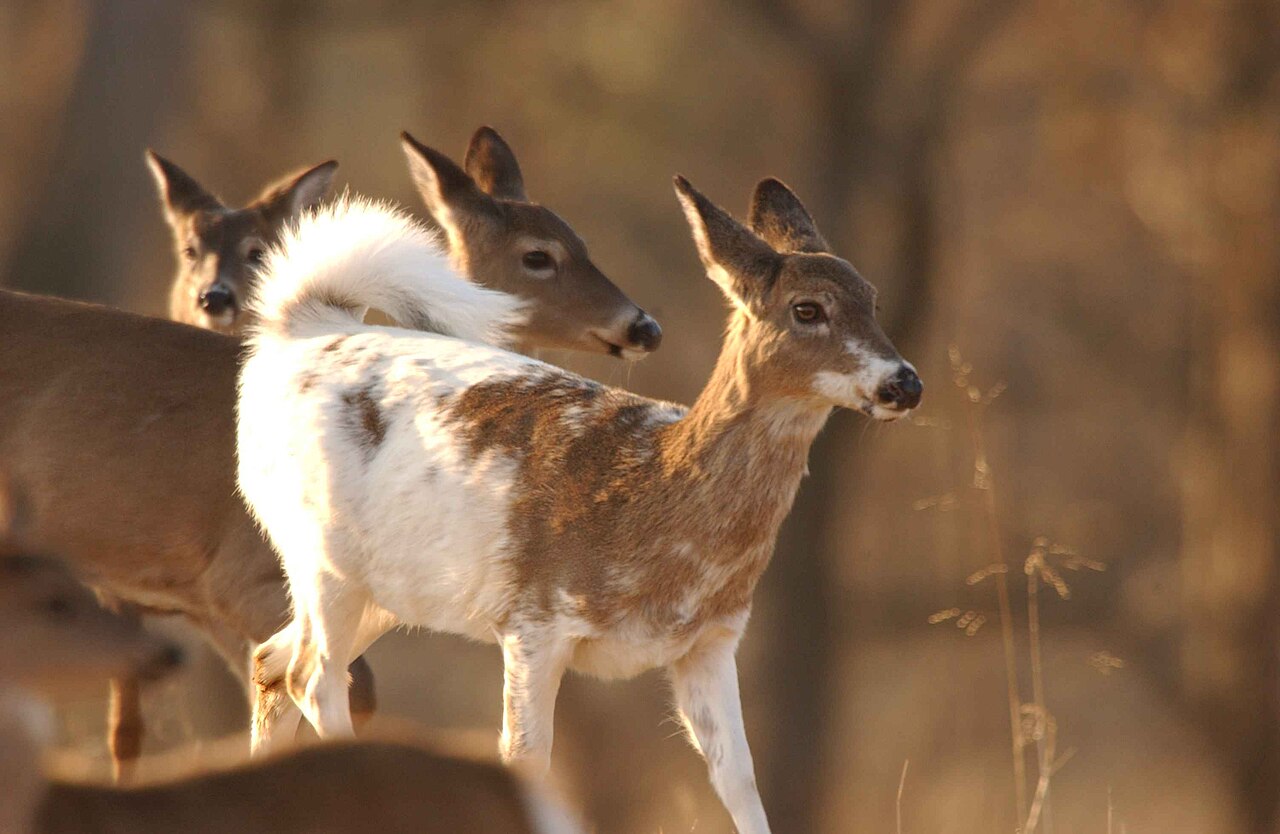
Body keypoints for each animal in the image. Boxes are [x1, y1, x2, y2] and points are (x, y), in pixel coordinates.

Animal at [236, 176, 923, 834]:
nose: (905, 383)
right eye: (807, 308)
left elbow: (740, 781)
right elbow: (525, 760)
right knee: (311, 677)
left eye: (872, 299)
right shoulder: (535, 621)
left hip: (390, 588)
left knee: (270, 662)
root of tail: (304, 328)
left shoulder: (711, 640)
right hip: (319, 554)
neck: (653, 496)